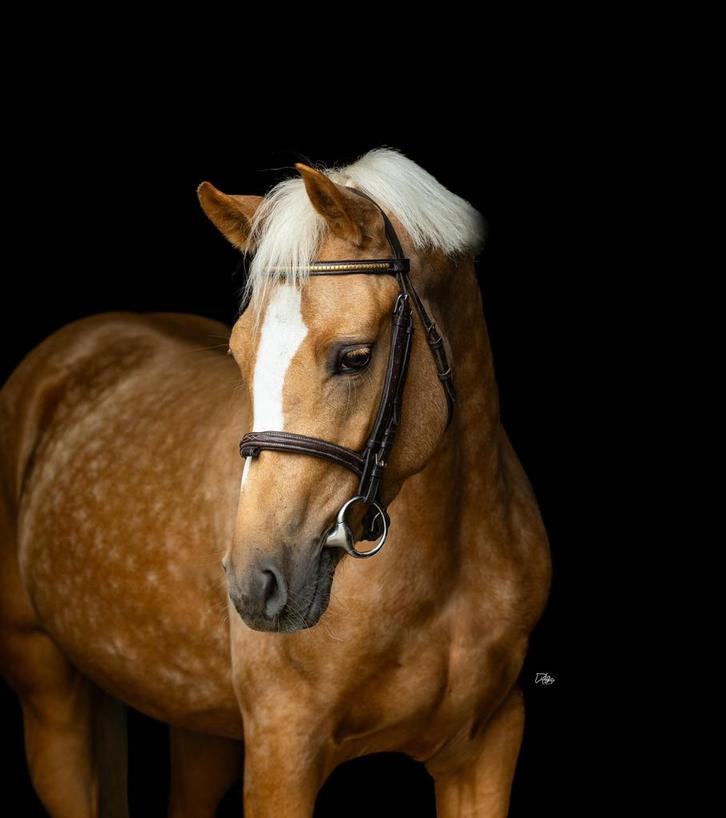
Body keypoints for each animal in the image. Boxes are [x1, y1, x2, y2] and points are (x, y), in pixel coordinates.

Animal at [0, 148, 551, 817]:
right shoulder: (282, 752)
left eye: (355, 356)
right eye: (239, 353)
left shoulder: (486, 749)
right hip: (49, 694)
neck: (447, 574)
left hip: (198, 726)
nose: (253, 583)